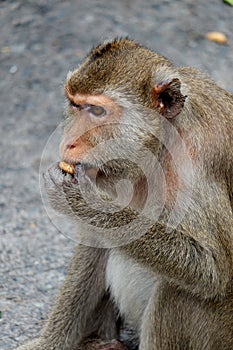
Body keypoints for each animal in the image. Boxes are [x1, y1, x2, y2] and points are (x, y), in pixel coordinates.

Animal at [16, 37, 233, 348]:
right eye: (74, 104)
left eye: (97, 111)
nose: (68, 141)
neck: (159, 144)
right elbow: (97, 239)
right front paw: (48, 343)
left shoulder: (196, 165)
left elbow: (213, 270)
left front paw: (78, 199)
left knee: (177, 292)